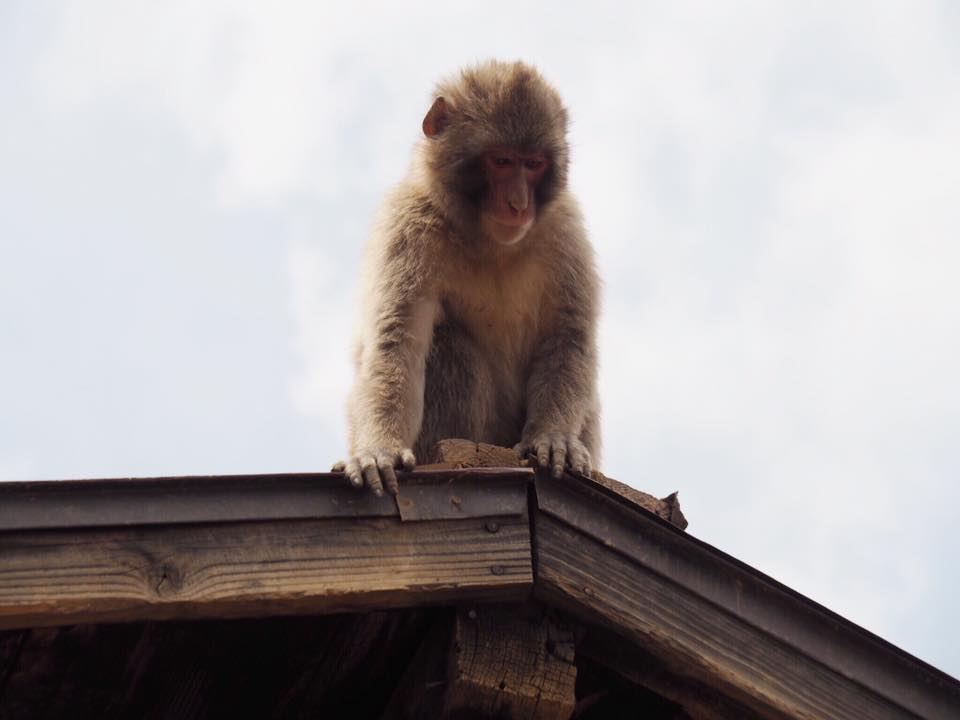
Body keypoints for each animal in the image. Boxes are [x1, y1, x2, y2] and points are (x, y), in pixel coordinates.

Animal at [334, 62, 596, 496]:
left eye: (534, 164)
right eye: (502, 161)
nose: (518, 204)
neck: (490, 243)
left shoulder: (564, 231)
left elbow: (567, 335)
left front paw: (552, 438)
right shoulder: (406, 225)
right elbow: (396, 339)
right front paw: (379, 448)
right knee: (447, 344)